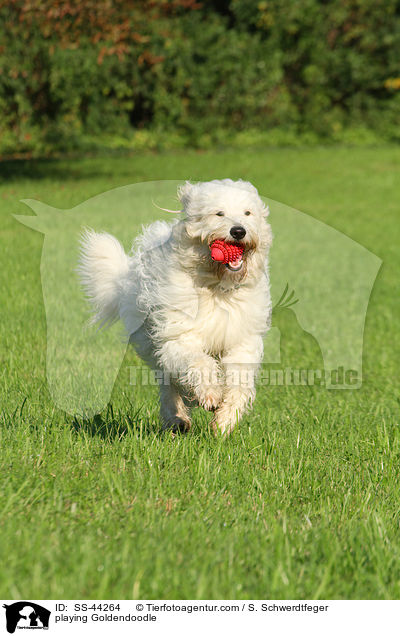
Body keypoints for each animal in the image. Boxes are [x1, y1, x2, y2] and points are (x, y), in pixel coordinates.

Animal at [78, 181, 272, 434]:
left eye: (248, 213)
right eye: (219, 213)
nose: (238, 231)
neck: (217, 287)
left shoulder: (242, 341)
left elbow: (240, 380)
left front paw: (225, 419)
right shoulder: (179, 337)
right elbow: (198, 362)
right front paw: (210, 394)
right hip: (151, 344)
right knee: (168, 383)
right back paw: (177, 417)